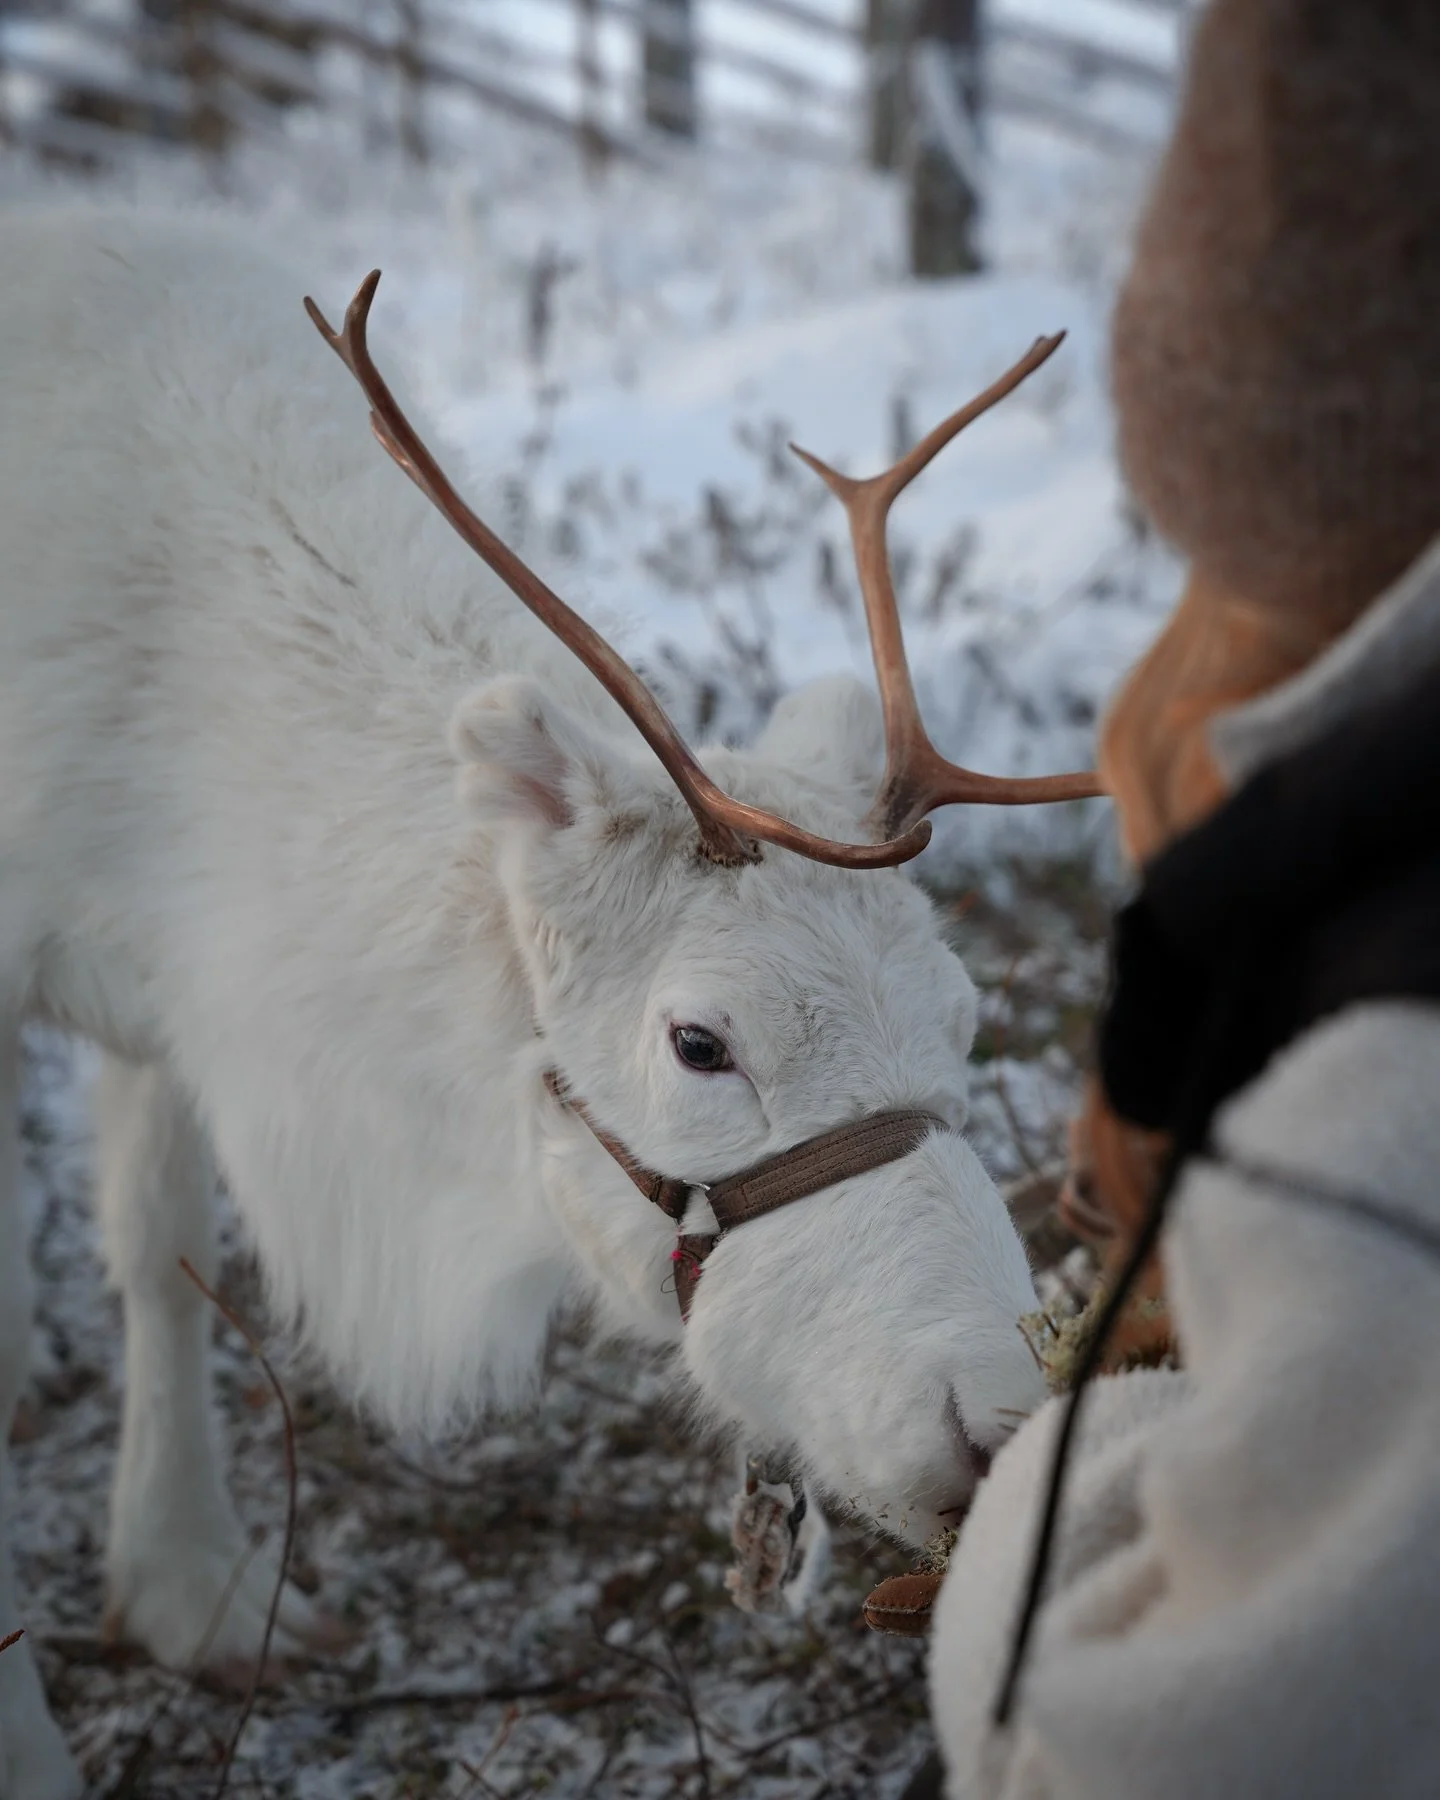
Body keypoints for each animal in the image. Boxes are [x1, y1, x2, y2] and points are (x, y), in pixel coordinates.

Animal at [0, 205, 1101, 1798]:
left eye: (964, 1021)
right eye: (700, 1043)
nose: (1003, 1423)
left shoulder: (161, 998)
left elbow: (158, 1248)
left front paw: (187, 1581)